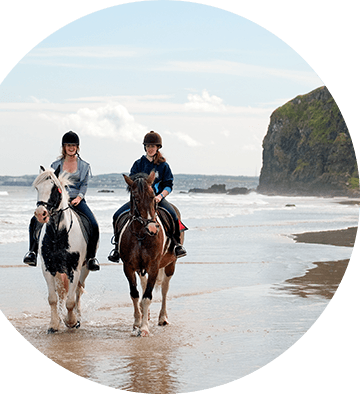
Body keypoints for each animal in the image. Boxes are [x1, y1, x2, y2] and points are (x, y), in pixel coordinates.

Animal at [33, 166, 94, 332]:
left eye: (55, 189)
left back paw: (77, 317)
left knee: (78, 291)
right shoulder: (48, 269)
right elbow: (53, 298)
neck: (57, 234)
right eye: (37, 188)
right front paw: (54, 324)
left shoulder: (74, 270)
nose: (40, 214)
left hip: (84, 269)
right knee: (61, 293)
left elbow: (71, 300)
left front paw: (72, 321)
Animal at [120, 172, 184, 338]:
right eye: (136, 198)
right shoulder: (128, 267)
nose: (152, 229)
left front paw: (144, 329)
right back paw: (146, 315)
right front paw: (137, 323)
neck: (141, 235)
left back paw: (163, 318)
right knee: (143, 286)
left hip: (170, 264)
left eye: (153, 197)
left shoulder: (154, 266)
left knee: (165, 289)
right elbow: (135, 294)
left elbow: (147, 297)